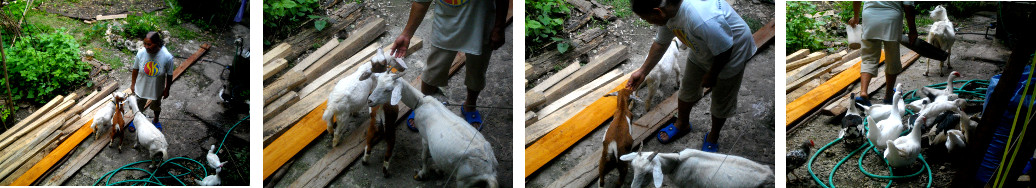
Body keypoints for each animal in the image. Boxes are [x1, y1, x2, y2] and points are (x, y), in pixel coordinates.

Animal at [364, 71, 497, 186]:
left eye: (388, 89)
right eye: (377, 83)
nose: (369, 101)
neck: (421, 102)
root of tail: (489, 172)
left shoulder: (424, 137)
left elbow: (424, 156)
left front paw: (422, 173)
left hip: (464, 180)